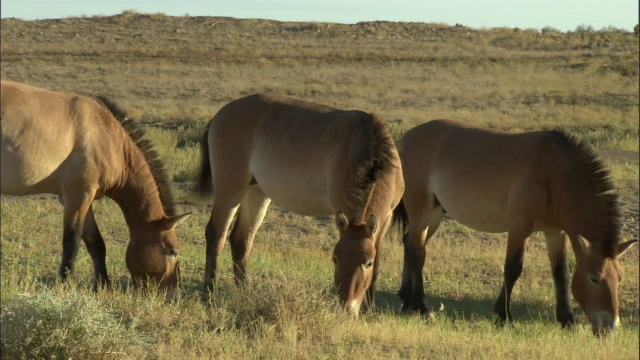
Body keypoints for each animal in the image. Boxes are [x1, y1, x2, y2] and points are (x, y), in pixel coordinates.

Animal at [0, 79, 190, 292]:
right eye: (173, 251)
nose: (174, 291)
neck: (107, 136)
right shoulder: (78, 195)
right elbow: (72, 242)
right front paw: (64, 283)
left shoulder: (84, 198)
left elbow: (96, 243)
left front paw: (103, 284)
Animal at [198, 93, 402, 316]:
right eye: (335, 259)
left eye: (367, 262)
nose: (347, 307)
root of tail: (220, 115)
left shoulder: (386, 218)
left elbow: (378, 262)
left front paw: (369, 310)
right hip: (231, 190)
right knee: (216, 234)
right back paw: (209, 293)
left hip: (256, 191)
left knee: (241, 239)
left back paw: (244, 292)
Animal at [392, 119, 636, 336]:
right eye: (595, 278)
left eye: (620, 278)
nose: (610, 327)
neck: (554, 174)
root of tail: (406, 139)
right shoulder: (519, 228)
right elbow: (512, 269)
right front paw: (504, 316)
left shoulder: (556, 233)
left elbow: (561, 274)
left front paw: (567, 320)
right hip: (421, 212)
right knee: (417, 251)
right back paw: (422, 307)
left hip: (434, 215)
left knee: (410, 244)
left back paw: (405, 300)